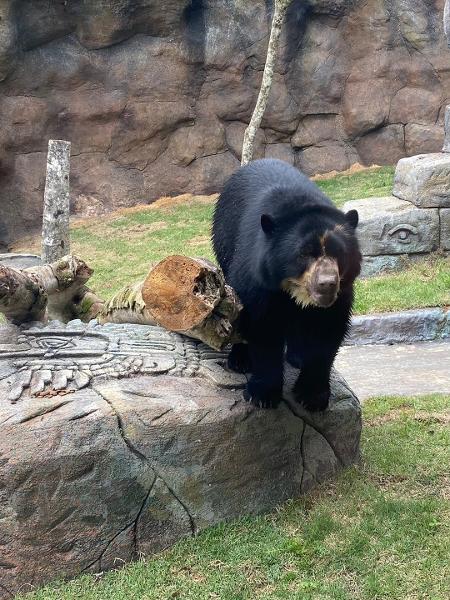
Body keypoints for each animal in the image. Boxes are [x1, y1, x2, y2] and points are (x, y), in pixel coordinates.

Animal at [212, 158, 362, 412]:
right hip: (224, 238)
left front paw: (312, 396)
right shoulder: (259, 278)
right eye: (304, 254)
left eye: (339, 253)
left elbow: (327, 331)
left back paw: (296, 356)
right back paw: (239, 360)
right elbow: (262, 327)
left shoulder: (341, 295)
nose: (326, 284)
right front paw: (262, 394)